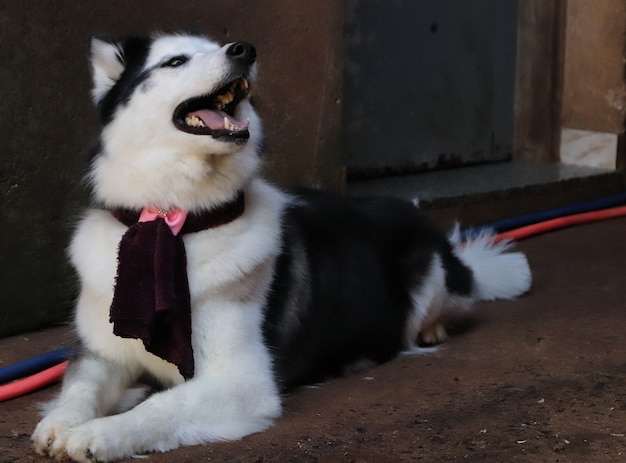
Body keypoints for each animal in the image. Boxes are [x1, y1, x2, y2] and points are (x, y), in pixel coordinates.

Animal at [33, 33, 532, 463]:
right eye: (175, 61)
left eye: (218, 46)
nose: (243, 50)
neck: (179, 220)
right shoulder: (101, 355)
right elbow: (77, 389)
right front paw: (61, 422)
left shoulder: (243, 382)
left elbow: (160, 408)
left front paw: (99, 434)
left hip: (427, 274)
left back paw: (431, 330)